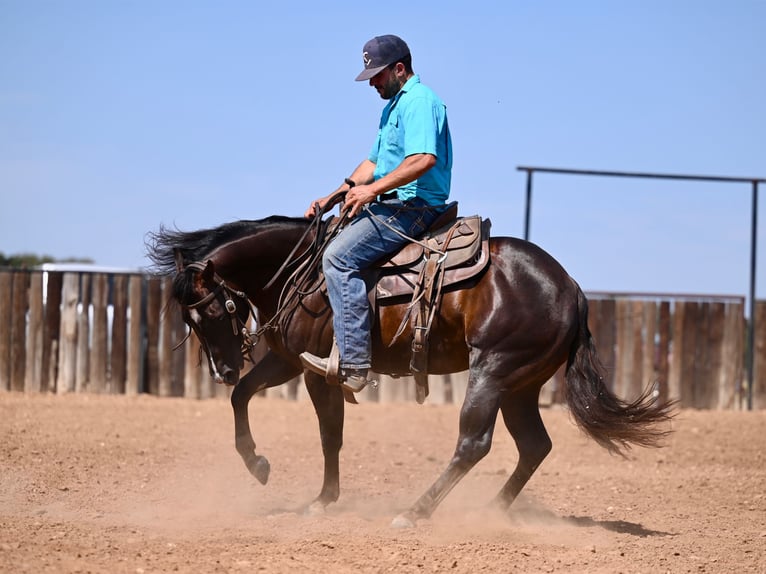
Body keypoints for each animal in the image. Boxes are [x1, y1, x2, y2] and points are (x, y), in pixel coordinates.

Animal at [147, 215, 676, 528]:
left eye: (213, 311)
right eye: (189, 321)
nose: (221, 369)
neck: (302, 273)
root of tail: (572, 288)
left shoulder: (318, 371)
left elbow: (330, 435)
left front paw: (322, 500)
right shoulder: (286, 360)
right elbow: (243, 397)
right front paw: (257, 464)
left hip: (492, 372)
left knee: (474, 443)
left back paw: (416, 512)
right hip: (520, 386)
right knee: (534, 445)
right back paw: (492, 511)